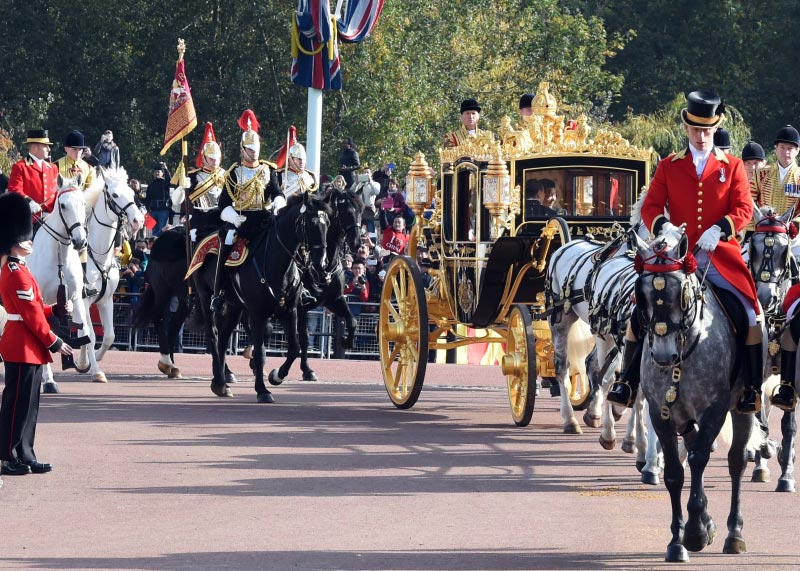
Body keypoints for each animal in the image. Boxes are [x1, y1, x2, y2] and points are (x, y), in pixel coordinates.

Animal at [27, 173, 89, 394]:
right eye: (63, 205)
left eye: (84, 203)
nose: (80, 241)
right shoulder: (40, 300)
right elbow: (45, 333)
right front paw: (49, 380)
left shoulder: (75, 298)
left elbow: (85, 330)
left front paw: (83, 364)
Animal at [76, 166, 145, 380]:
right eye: (114, 195)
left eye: (132, 193)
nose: (138, 221)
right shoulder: (84, 300)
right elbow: (90, 334)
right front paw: (95, 371)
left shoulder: (106, 300)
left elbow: (108, 335)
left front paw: (88, 361)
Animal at [272, 188, 366, 384]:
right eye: (345, 210)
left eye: (361, 210)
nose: (357, 243)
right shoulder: (299, 308)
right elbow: (304, 339)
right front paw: (306, 369)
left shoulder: (334, 300)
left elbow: (352, 320)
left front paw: (346, 341)